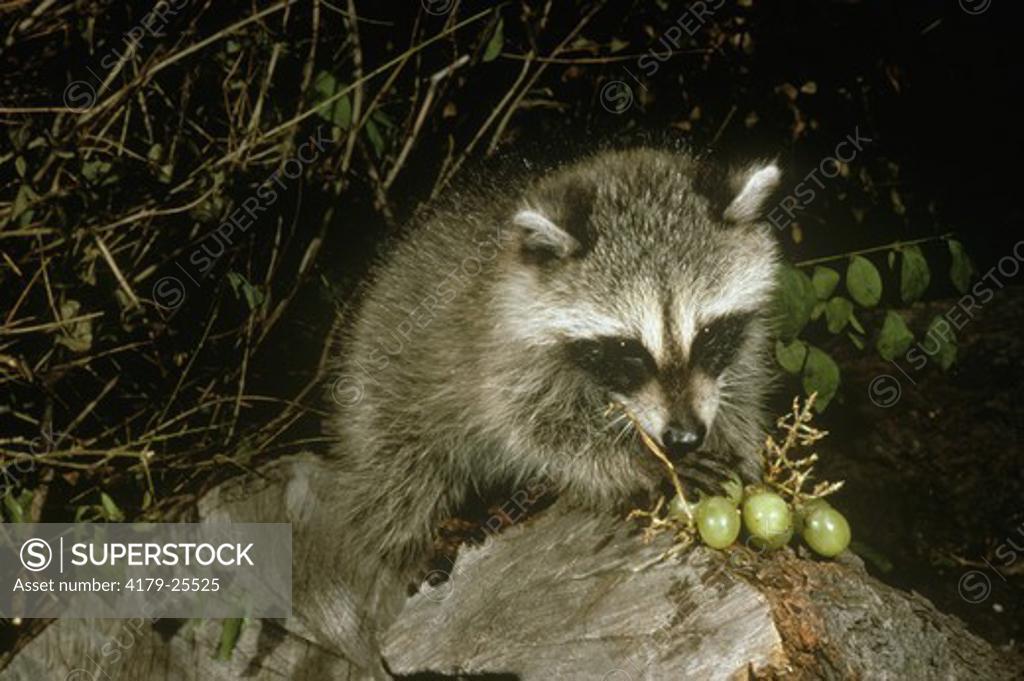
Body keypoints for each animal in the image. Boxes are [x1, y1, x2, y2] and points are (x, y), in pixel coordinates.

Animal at [326, 148, 781, 574]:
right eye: (629, 349)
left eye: (707, 334)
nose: (684, 437)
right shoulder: (506, 353)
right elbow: (541, 429)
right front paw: (647, 462)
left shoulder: (741, 344)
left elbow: (738, 391)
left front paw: (739, 452)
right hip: (387, 383)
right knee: (400, 475)